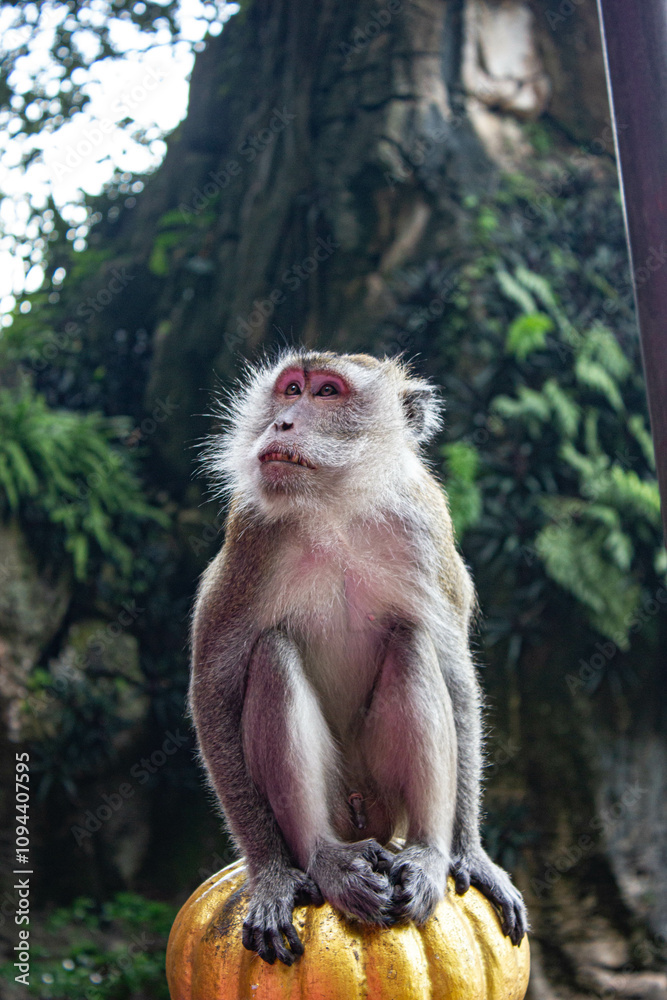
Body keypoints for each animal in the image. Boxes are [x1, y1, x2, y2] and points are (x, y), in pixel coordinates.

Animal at [189, 349, 528, 966]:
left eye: (327, 392)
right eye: (290, 389)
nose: (282, 423)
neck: (336, 509)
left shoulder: (425, 527)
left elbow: (455, 676)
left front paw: (471, 853)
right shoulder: (251, 536)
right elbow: (214, 688)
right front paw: (271, 873)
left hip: (381, 799)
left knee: (414, 640)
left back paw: (426, 855)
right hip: (337, 805)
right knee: (272, 654)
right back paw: (328, 860)